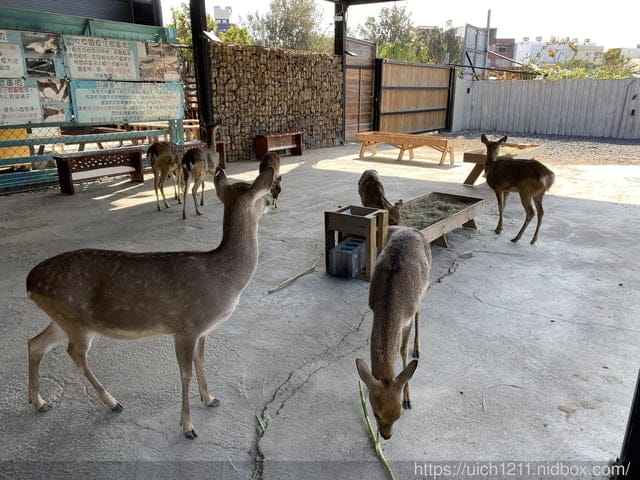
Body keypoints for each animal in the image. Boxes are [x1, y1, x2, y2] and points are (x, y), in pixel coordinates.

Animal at [26, 165, 275, 440]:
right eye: (261, 195)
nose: (271, 201)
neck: (224, 279)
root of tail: (30, 282)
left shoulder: (203, 330)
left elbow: (201, 361)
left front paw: (210, 398)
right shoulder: (186, 326)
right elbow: (185, 373)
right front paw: (188, 427)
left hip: (61, 318)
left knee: (35, 344)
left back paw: (39, 402)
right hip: (76, 320)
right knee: (75, 353)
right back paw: (113, 402)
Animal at [356, 226, 431, 440]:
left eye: (398, 415)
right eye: (376, 413)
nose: (386, 436)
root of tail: (411, 229)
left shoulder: (406, 320)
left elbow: (403, 350)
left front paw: (408, 398)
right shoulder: (373, 309)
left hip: (426, 284)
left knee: (420, 310)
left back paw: (418, 349)